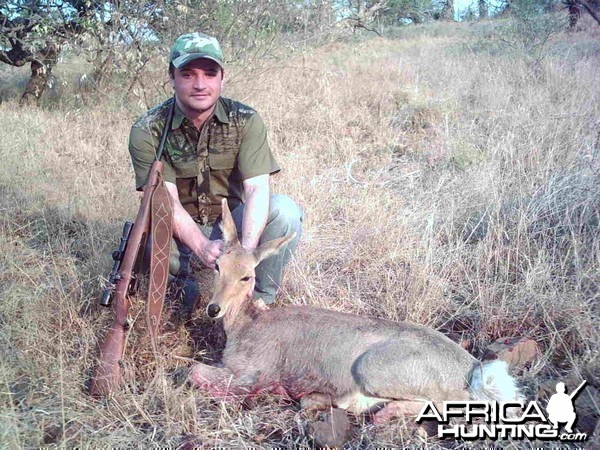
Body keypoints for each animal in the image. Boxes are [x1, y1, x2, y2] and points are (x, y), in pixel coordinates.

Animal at [190, 200, 524, 422]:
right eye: (218, 265)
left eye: (247, 276)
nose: (213, 308)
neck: (247, 325)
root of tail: (473, 369)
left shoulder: (252, 372)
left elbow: (193, 371)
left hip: (373, 368)